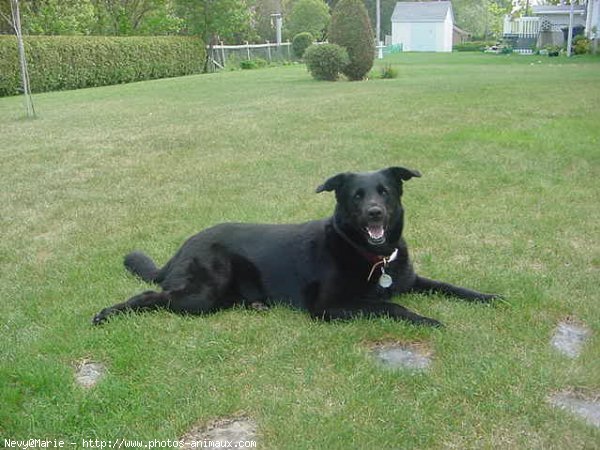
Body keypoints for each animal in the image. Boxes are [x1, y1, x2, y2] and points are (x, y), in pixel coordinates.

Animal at [92, 166, 496, 326]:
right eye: (357, 195)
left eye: (384, 191)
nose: (375, 213)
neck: (371, 257)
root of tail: (185, 245)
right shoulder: (330, 307)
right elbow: (391, 307)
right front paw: (426, 319)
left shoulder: (411, 280)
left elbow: (449, 286)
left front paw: (488, 297)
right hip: (201, 295)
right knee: (149, 296)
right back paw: (106, 314)